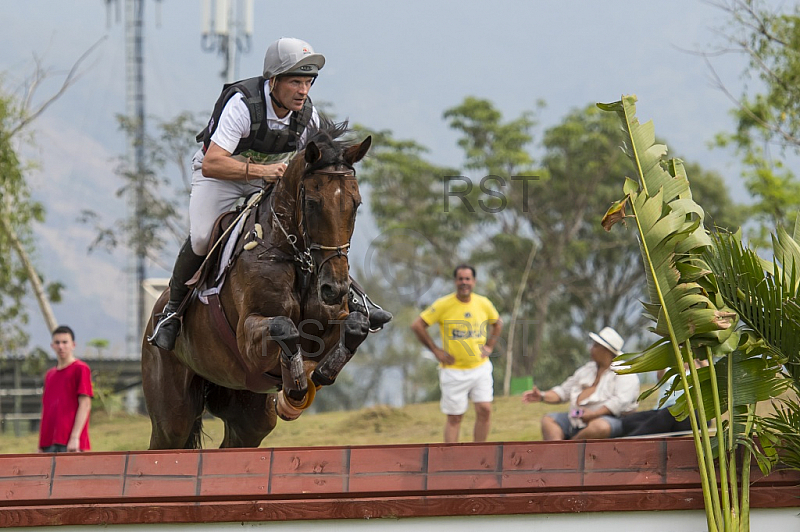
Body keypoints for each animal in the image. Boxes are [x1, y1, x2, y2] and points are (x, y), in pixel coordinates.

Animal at [141, 121, 372, 448]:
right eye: (312, 204)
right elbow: (284, 328)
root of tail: (152, 318)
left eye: (356, 204)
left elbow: (356, 325)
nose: (334, 288)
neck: (296, 258)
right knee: (169, 435)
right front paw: (296, 388)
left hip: (247, 414)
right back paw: (168, 324)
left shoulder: (330, 321)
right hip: (172, 414)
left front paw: (318, 376)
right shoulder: (248, 336)